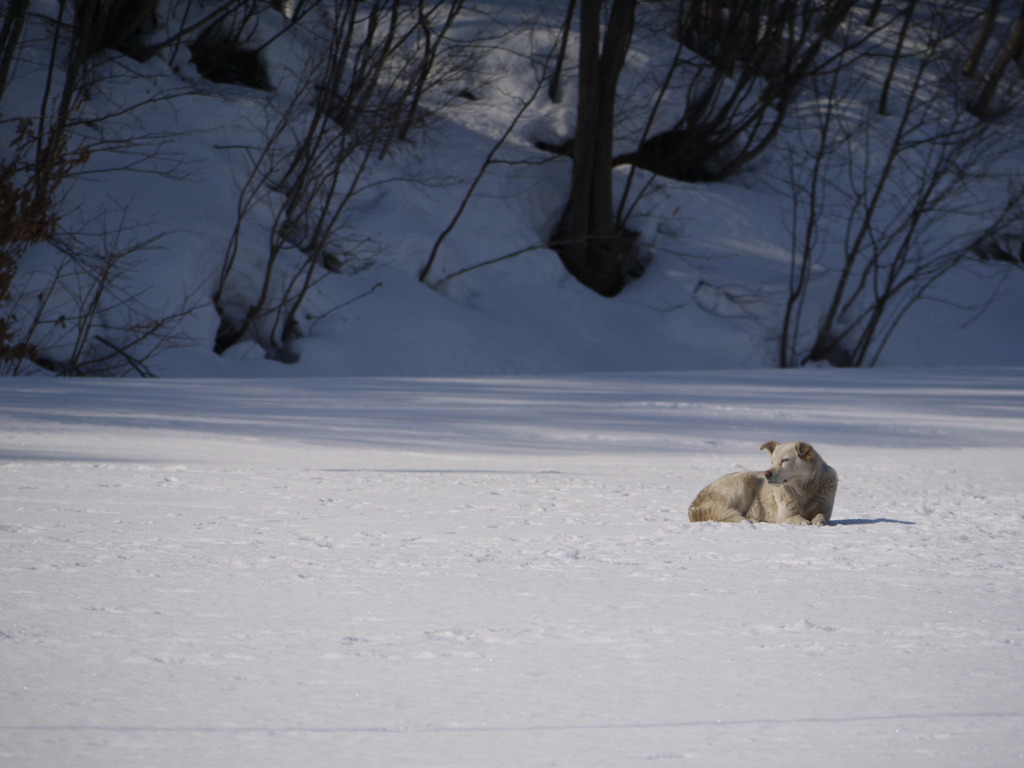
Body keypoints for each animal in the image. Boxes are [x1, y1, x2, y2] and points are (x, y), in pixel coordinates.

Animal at [688, 442, 839, 528]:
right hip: (745, 478)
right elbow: (799, 519)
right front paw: (805, 522)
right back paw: (751, 521)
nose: (767, 473)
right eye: (772, 462)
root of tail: (694, 506)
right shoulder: (784, 516)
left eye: (784, 460)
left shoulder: (825, 510)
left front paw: (818, 521)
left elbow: (821, 516)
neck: (803, 492)